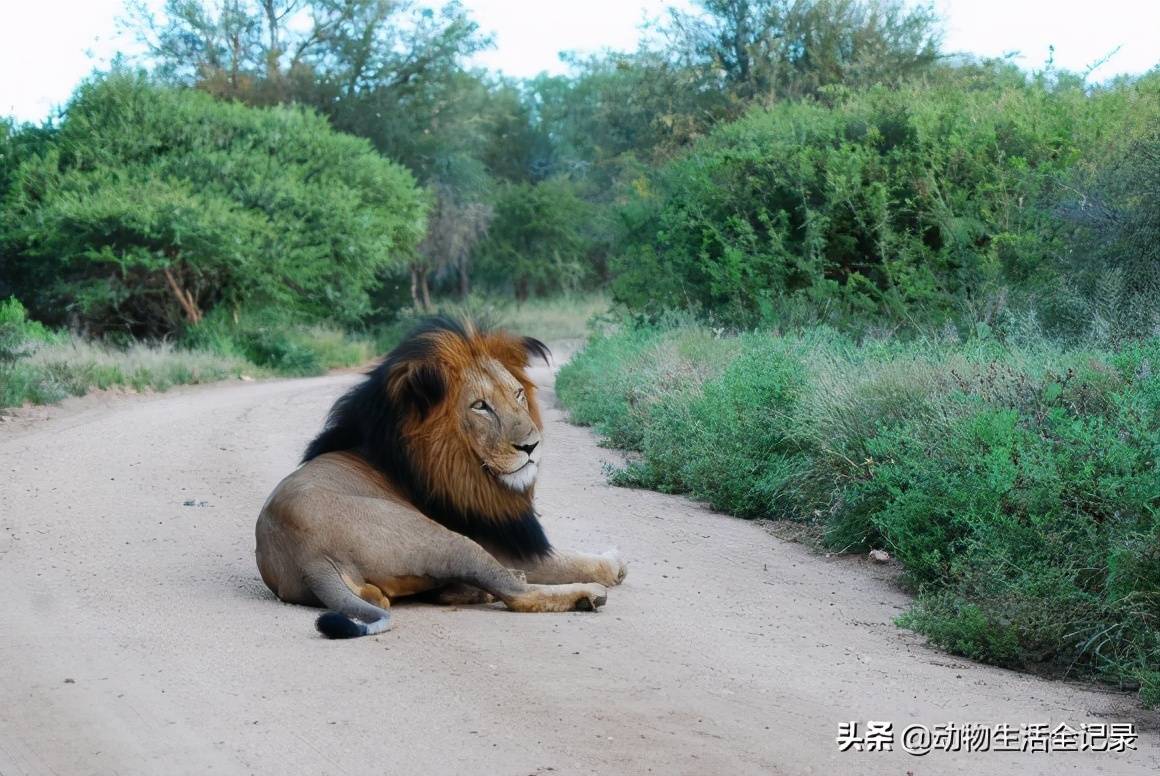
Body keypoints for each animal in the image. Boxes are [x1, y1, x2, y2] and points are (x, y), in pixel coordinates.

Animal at [254, 315, 626, 635]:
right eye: (481, 407)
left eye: (519, 394)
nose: (531, 446)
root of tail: (310, 557)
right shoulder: (505, 544)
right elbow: (574, 560)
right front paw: (613, 563)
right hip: (446, 540)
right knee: (517, 593)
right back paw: (585, 594)